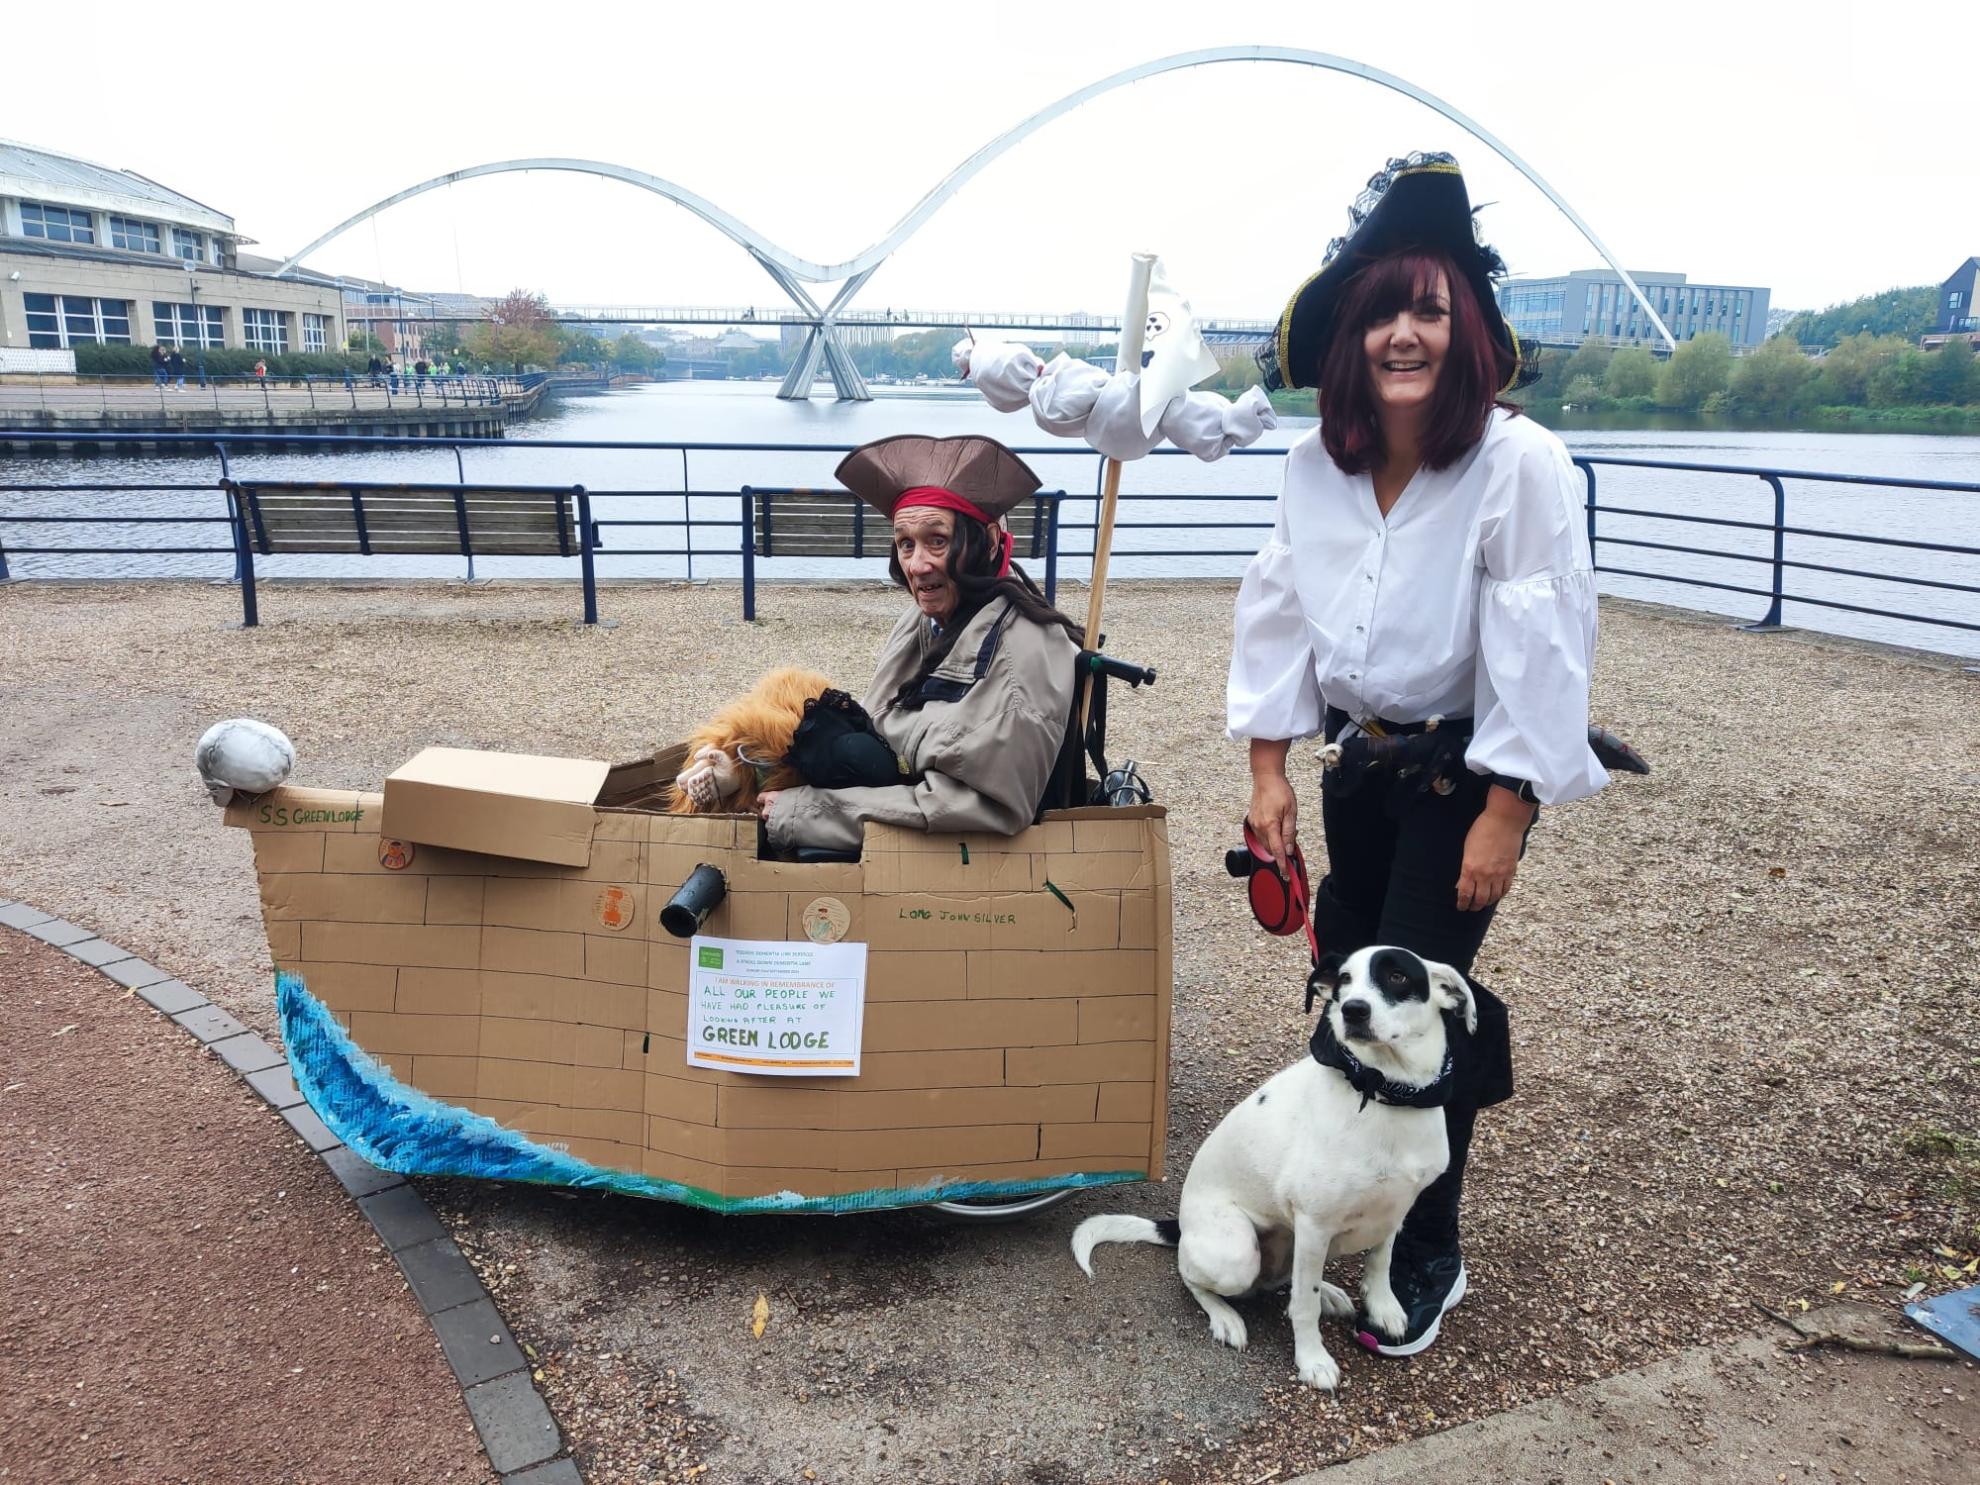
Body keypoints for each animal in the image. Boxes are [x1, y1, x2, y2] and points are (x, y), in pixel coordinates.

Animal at [1069, 946, 1473, 1393]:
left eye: (1398, 977)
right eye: (1345, 980)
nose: (1353, 1010)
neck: (1384, 1094)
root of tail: (1181, 1225)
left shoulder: (1396, 1208)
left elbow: (1379, 1260)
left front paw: (1383, 1307)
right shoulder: (1315, 1222)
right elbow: (1304, 1306)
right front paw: (1312, 1360)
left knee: (1289, 1281)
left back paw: (1328, 1292)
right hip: (1238, 1253)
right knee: (1193, 1276)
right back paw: (1226, 1317)